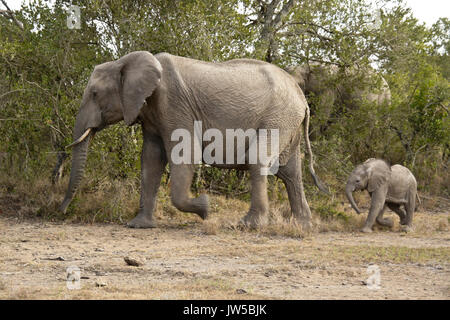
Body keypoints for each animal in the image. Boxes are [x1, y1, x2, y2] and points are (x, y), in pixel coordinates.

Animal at [60, 50, 326, 230]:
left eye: (95, 94)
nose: (61, 211)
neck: (126, 60)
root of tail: (301, 97)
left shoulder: (174, 104)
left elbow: (183, 153)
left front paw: (205, 208)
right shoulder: (152, 113)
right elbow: (150, 160)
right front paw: (138, 225)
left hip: (278, 117)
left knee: (259, 160)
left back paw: (247, 225)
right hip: (287, 120)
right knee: (290, 172)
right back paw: (302, 226)